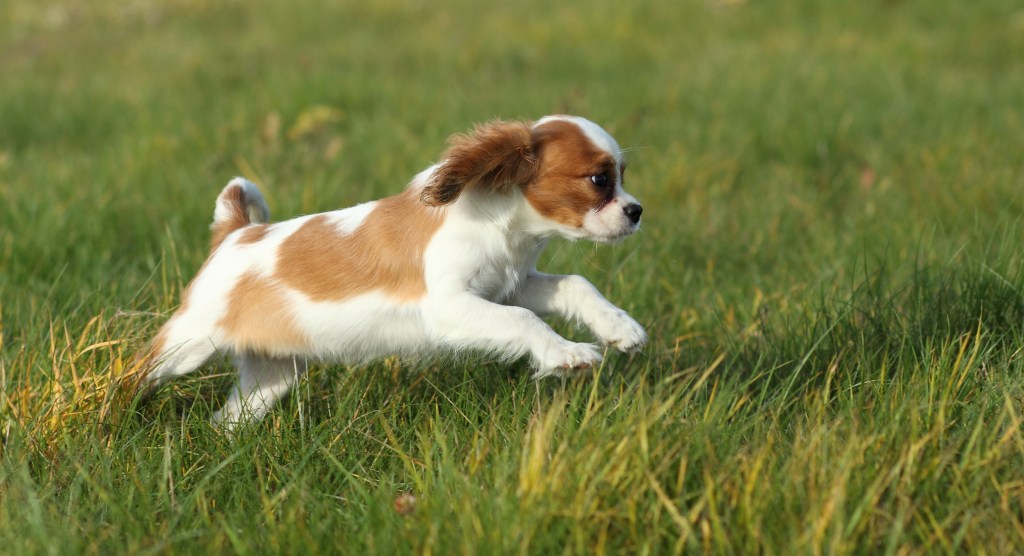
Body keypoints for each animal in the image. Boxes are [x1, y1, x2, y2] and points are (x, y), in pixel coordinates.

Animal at [142, 114, 647, 425]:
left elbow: (576, 285)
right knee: (138, 376)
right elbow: (525, 321)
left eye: (622, 175)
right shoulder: (450, 306)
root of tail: (236, 232)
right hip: (187, 346)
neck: (503, 228)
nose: (637, 211)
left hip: (272, 376)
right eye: (600, 180)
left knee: (229, 419)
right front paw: (568, 354)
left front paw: (621, 328)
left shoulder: (510, 286)